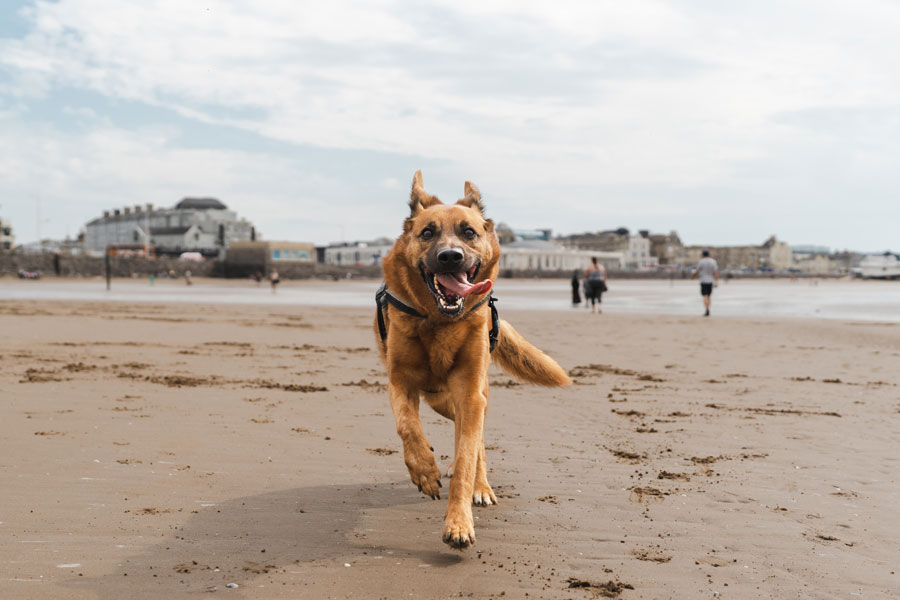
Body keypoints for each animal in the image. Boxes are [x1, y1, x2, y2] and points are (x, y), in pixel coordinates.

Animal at [376, 169, 572, 548]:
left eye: (469, 232)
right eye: (427, 233)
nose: (450, 257)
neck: (438, 320)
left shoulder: (469, 392)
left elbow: (468, 456)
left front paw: (459, 521)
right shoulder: (400, 381)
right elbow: (407, 426)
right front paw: (424, 470)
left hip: (469, 395)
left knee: (475, 439)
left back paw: (480, 487)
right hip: (439, 399)